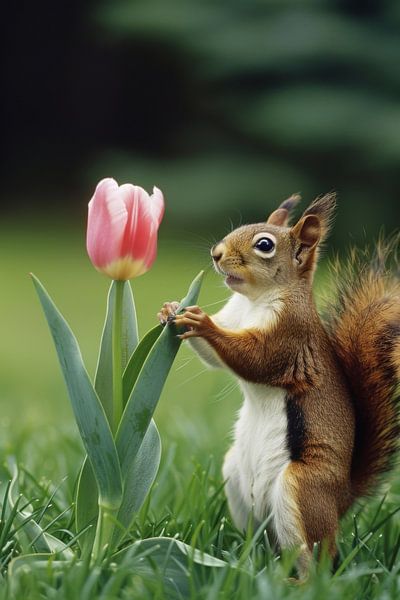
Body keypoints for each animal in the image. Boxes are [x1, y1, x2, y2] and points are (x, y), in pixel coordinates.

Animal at [157, 193, 400, 576]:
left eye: (265, 245)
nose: (216, 253)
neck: (254, 300)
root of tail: (343, 498)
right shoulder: (235, 315)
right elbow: (214, 357)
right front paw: (170, 309)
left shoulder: (289, 336)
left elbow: (254, 359)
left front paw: (202, 322)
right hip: (237, 480)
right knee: (266, 541)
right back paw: (248, 562)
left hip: (302, 489)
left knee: (317, 562)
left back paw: (293, 581)